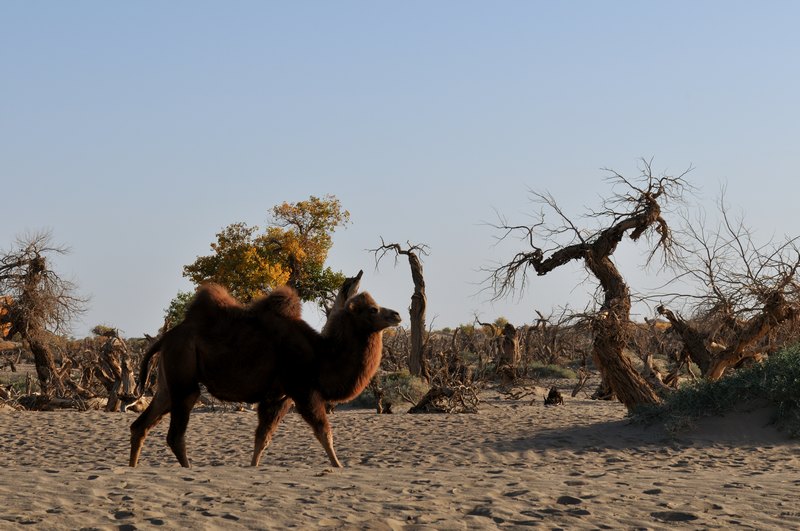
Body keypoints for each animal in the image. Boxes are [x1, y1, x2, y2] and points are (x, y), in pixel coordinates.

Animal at [130, 284, 400, 468]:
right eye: (373, 309)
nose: (396, 315)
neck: (319, 356)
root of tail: (165, 337)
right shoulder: (302, 390)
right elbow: (324, 432)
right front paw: (339, 466)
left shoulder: (279, 397)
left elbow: (263, 437)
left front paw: (253, 467)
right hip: (184, 377)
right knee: (175, 434)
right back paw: (188, 469)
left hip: (168, 383)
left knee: (141, 424)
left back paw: (133, 466)